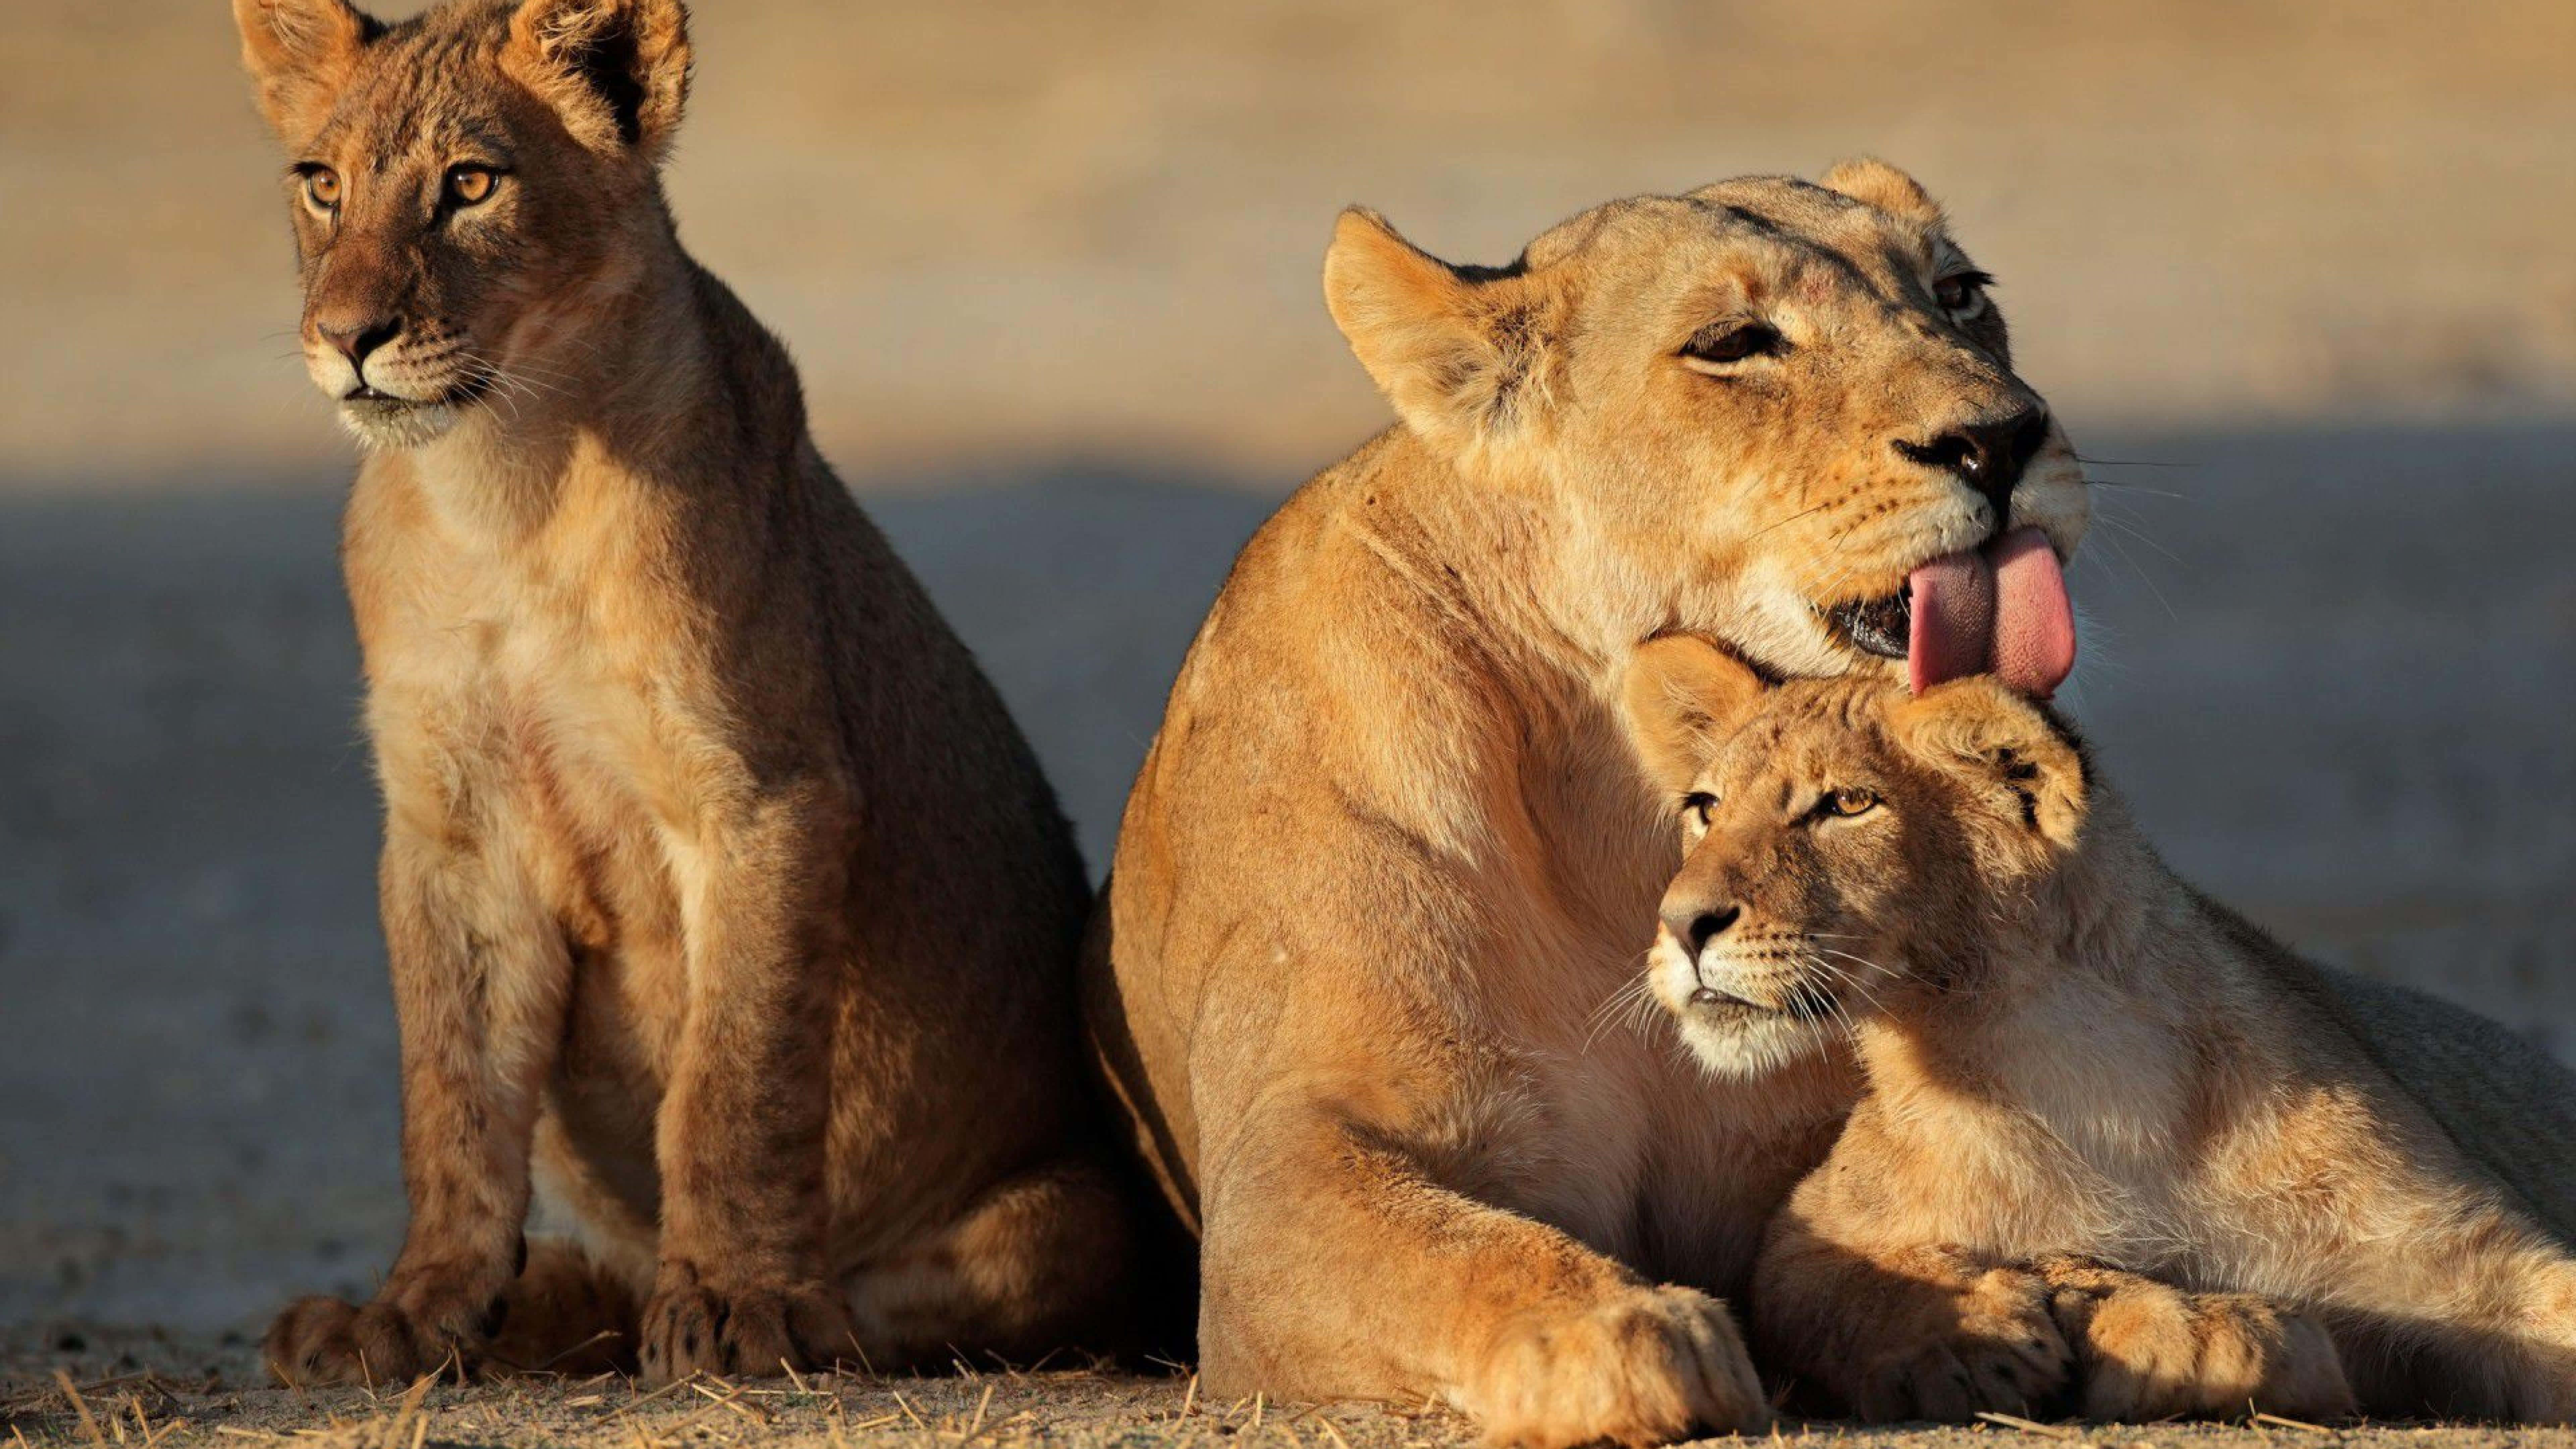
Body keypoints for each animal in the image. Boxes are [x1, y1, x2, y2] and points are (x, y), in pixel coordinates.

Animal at [233, 0, 1158, 1386]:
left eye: (472, 185)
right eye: (323, 185)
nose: (348, 339)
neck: (503, 488)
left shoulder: (764, 793)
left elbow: (735, 1077)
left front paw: (736, 1303)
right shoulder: (450, 825)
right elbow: (451, 1096)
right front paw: (411, 1310)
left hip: (1079, 1213)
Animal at [1081, 162, 2094, 1446]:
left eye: (1960, 293)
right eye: (1734, 344)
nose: (2003, 440)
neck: (1626, 810)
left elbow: (1849, 1227)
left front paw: (1969, 1319)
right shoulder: (1286, 1173)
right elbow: (1455, 1251)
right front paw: (1624, 1333)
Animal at [1622, 634, 2576, 1424]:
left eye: (1848, 805)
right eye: (1706, 807)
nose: (1681, 923)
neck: (2089, 1078)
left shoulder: (2475, 1262)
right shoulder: (1812, 1224)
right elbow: (1845, 1283)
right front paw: (1972, 1339)